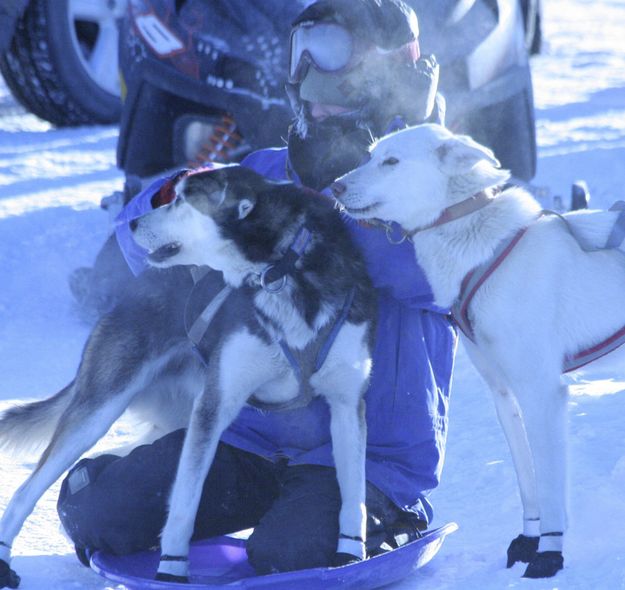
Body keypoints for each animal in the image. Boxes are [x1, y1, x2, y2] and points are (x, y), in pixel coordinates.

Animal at [0, 165, 376, 588]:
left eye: (182, 201)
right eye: (173, 194)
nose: (130, 223)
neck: (280, 270)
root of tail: (133, 289)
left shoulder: (347, 405)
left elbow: (353, 497)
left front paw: (349, 555)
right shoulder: (215, 405)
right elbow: (183, 504)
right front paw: (171, 570)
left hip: (170, 416)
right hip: (101, 408)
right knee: (28, 490)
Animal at [332, 122, 625, 580]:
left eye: (391, 161)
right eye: (370, 155)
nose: (335, 186)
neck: (483, 252)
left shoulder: (543, 394)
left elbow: (550, 484)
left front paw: (550, 553)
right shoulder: (503, 394)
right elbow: (527, 479)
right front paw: (528, 539)